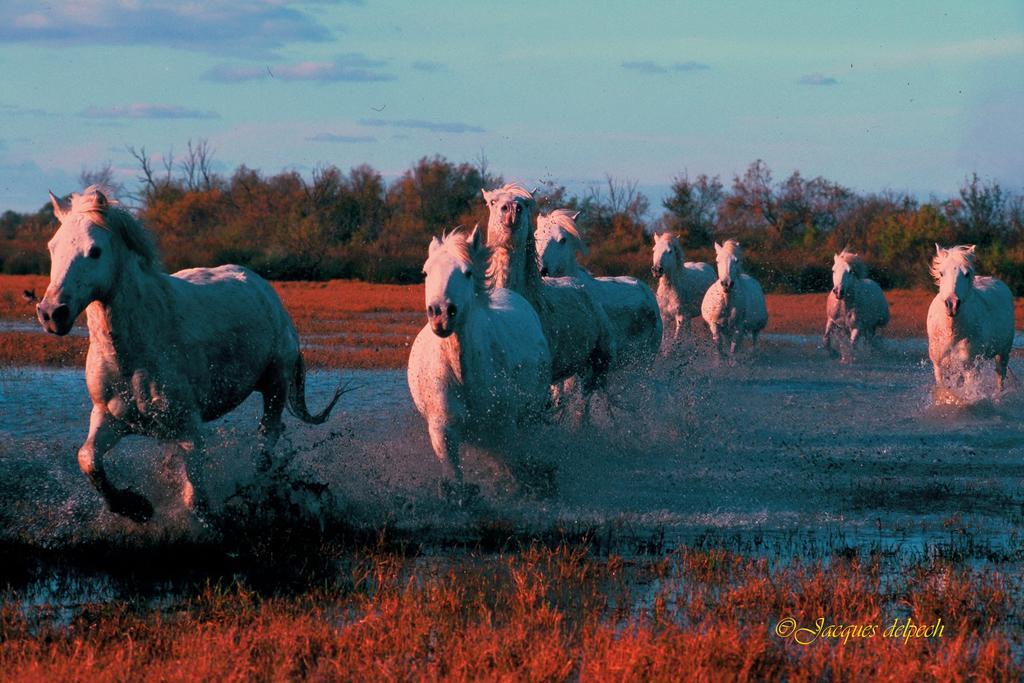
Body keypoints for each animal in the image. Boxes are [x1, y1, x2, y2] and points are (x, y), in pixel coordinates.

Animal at [37, 187, 344, 524]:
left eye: (95, 251)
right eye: (52, 247)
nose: (52, 313)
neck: (137, 353)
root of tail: (266, 291)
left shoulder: (190, 428)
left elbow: (195, 499)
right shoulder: (109, 418)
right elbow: (88, 459)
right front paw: (135, 507)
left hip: (276, 384)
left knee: (268, 437)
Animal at [407, 228, 552, 497]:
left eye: (467, 272)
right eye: (426, 272)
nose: (441, 313)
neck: (462, 375)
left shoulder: (504, 427)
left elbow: (510, 467)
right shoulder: (442, 432)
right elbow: (455, 478)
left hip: (530, 415)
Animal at [925, 244, 1011, 395]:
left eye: (966, 274)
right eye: (941, 273)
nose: (952, 304)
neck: (951, 331)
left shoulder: (970, 367)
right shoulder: (940, 367)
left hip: (1003, 353)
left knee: (1000, 377)